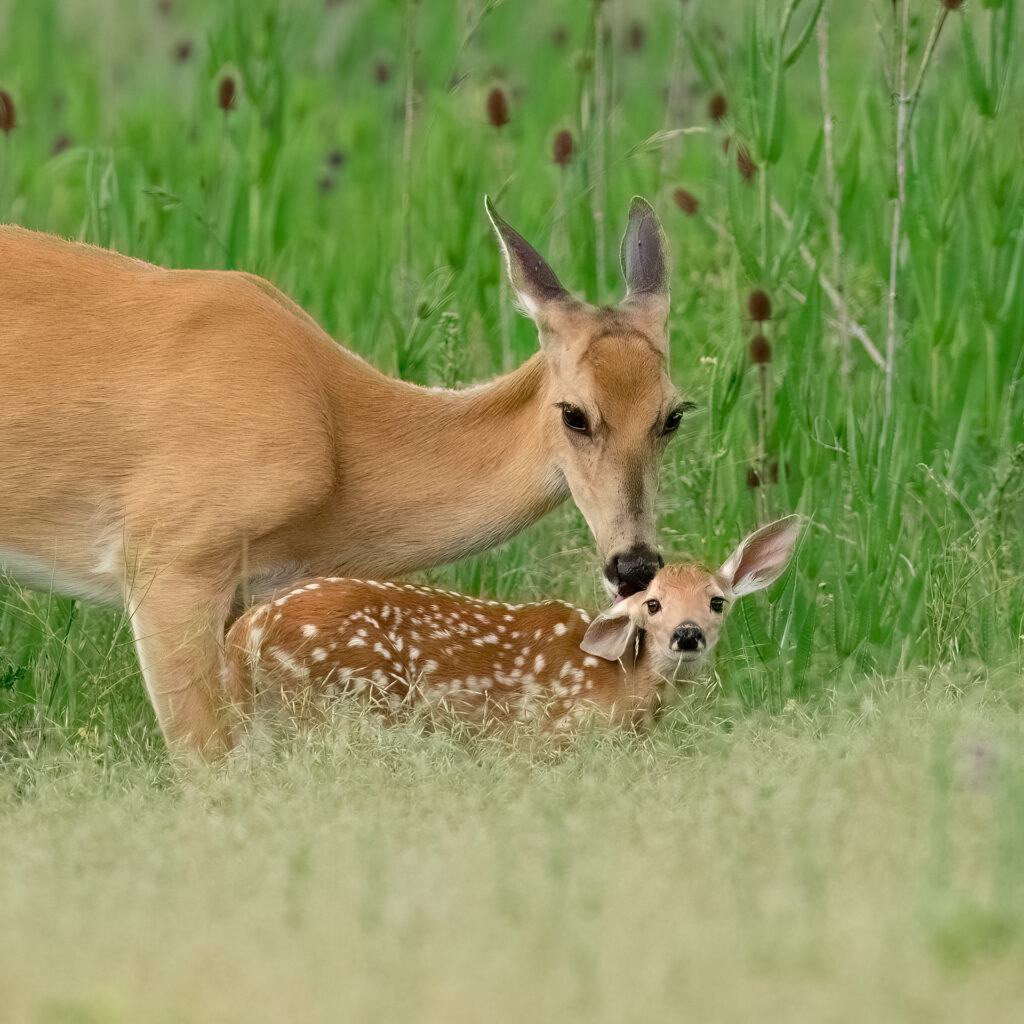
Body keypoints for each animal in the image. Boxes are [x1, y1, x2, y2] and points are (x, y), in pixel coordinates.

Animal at [223, 517, 802, 733]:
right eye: (653, 605)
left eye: (717, 602)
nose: (688, 634)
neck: (622, 688)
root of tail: (245, 630)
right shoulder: (544, 736)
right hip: (346, 699)